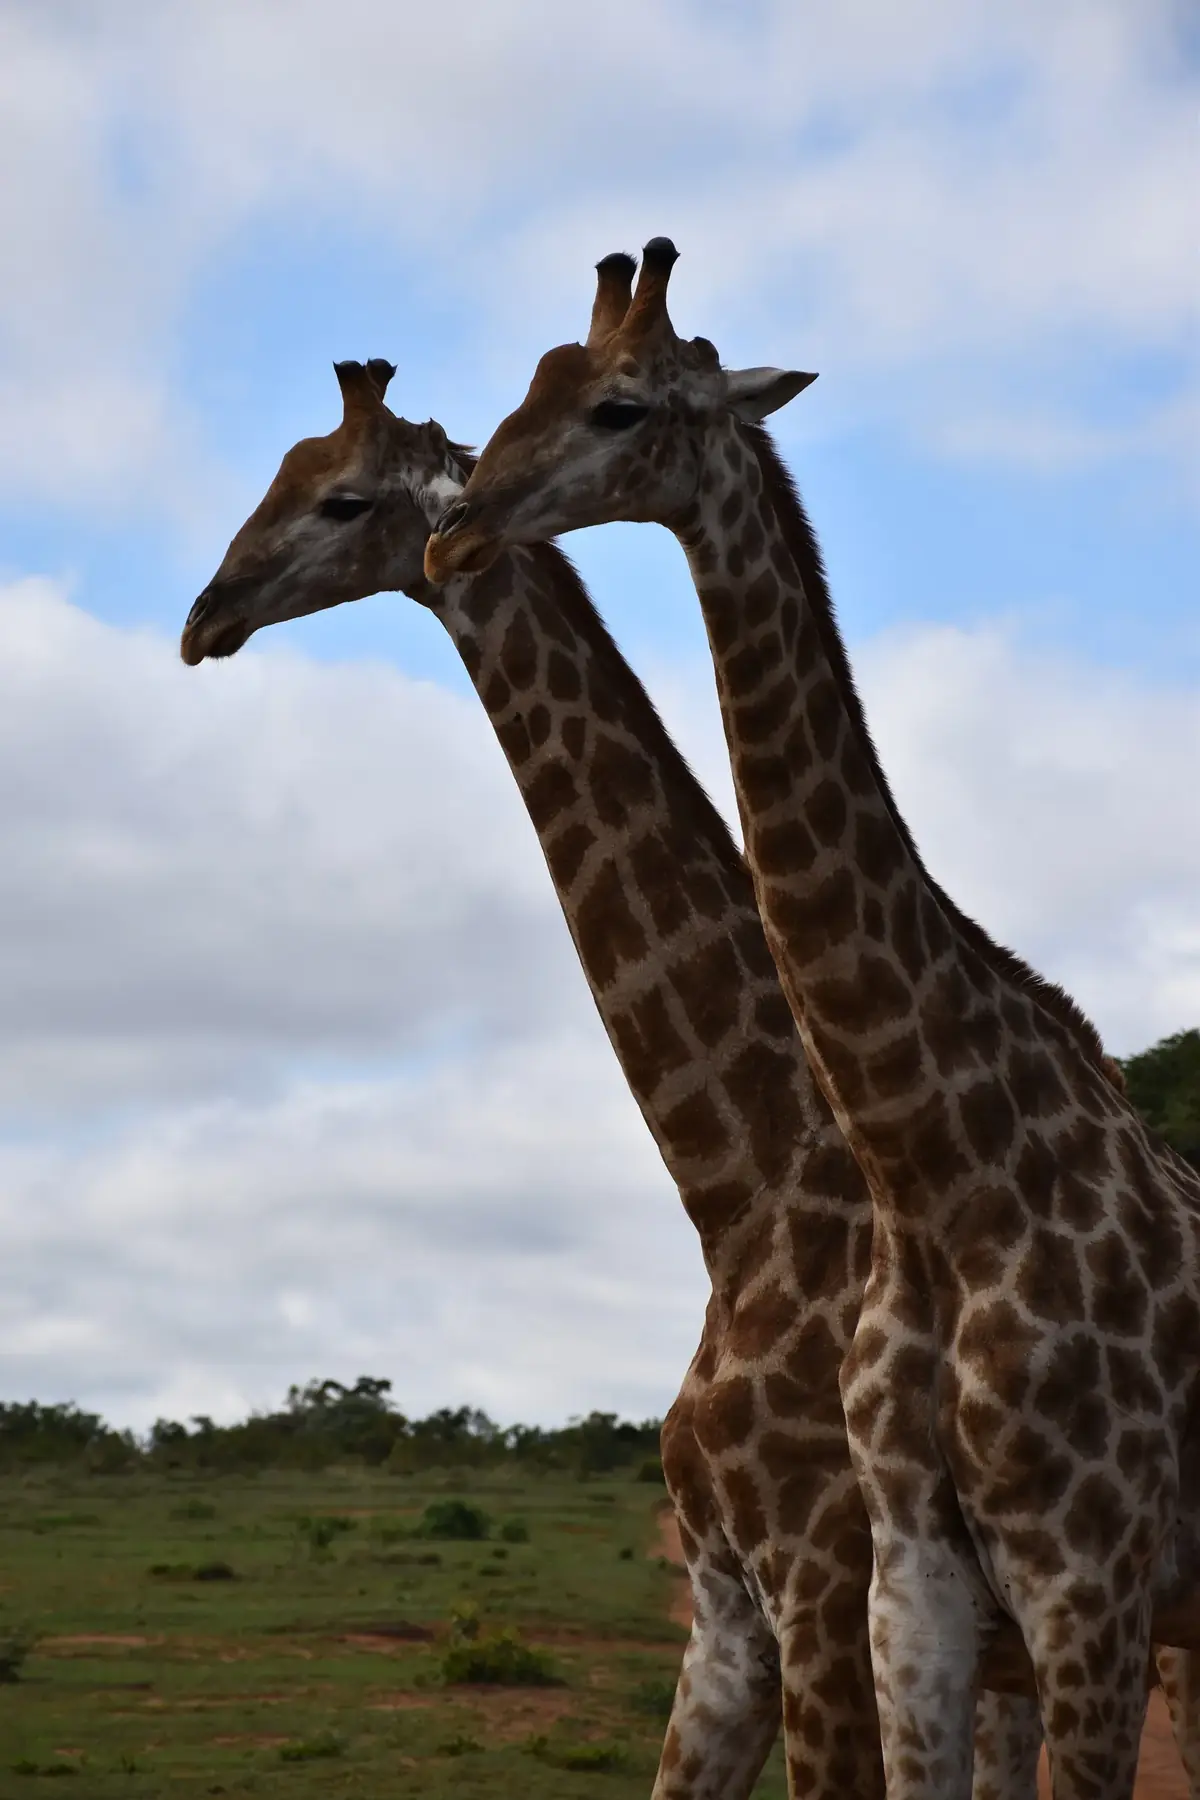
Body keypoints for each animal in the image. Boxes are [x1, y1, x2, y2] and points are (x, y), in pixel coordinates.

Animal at [423, 239, 1200, 1800]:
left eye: (621, 406)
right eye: (532, 382)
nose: (457, 522)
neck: (936, 1167)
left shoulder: (1082, 1580)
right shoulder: (912, 1586)